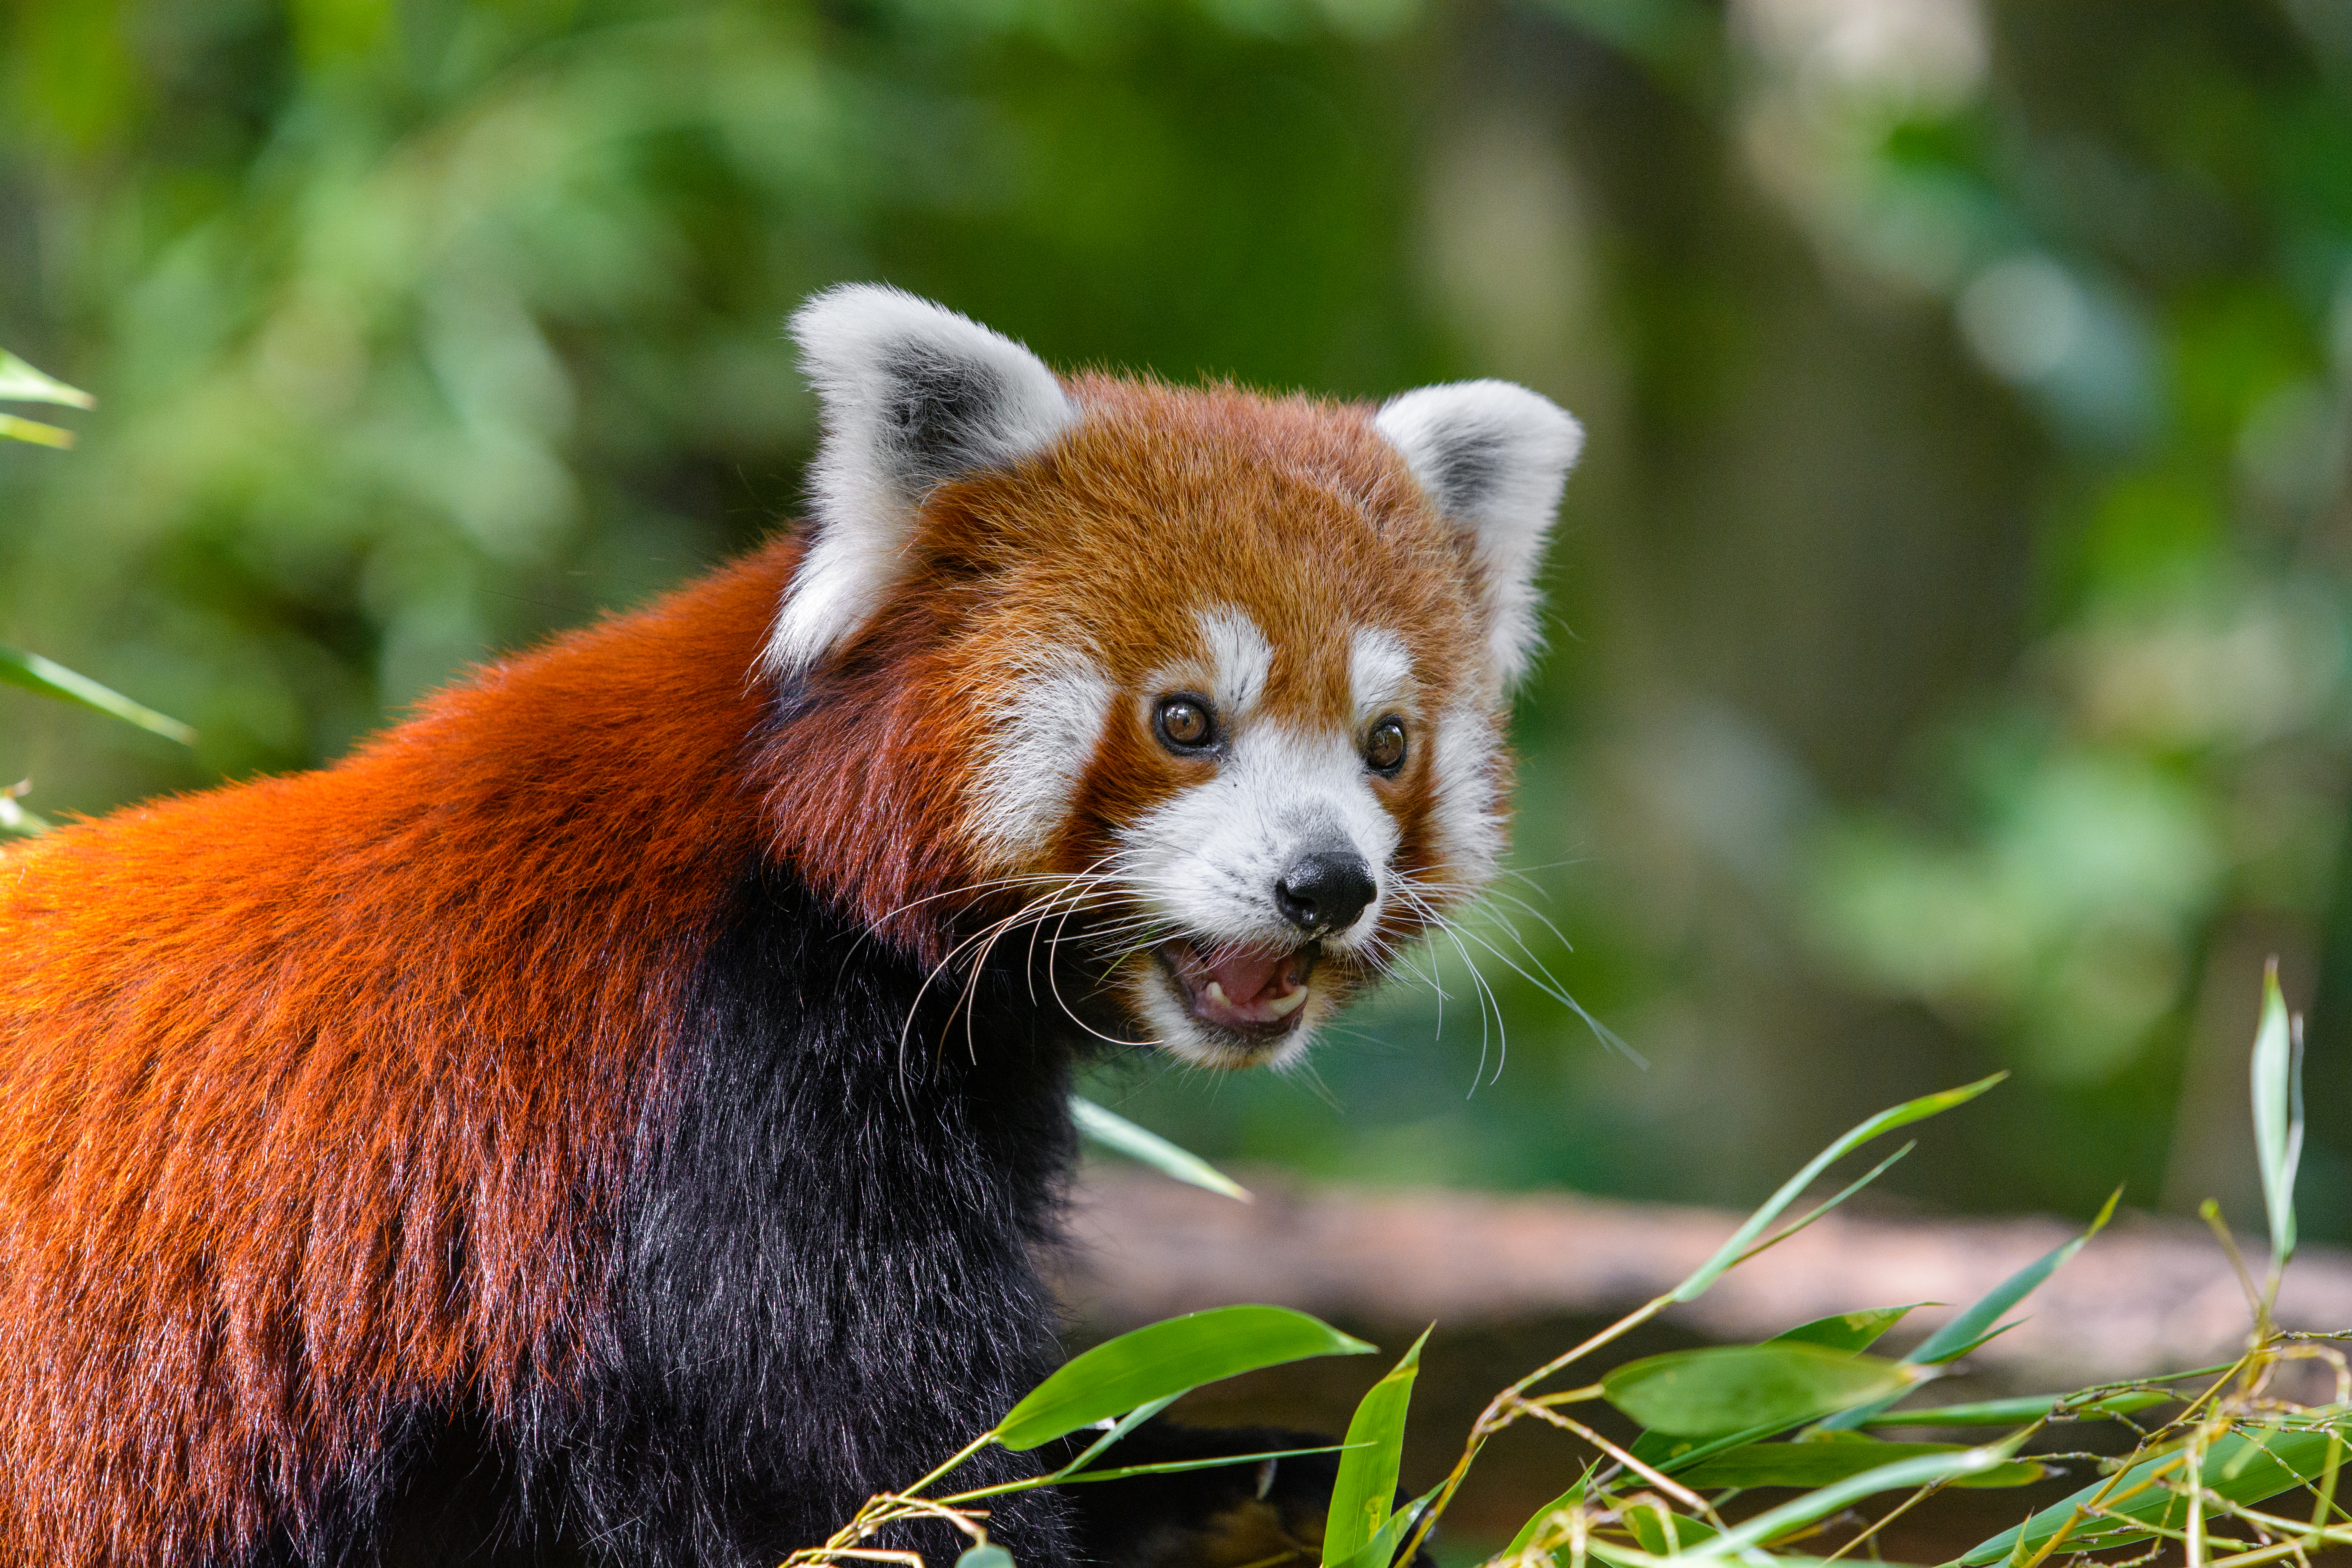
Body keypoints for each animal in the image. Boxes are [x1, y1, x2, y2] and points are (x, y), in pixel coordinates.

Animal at [0, 285, 1590, 1568]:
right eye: (1186, 720)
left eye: (1385, 743)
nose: (1327, 883)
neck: (797, 849)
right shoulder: (721, 1102)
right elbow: (868, 1484)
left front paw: (1275, 1479)